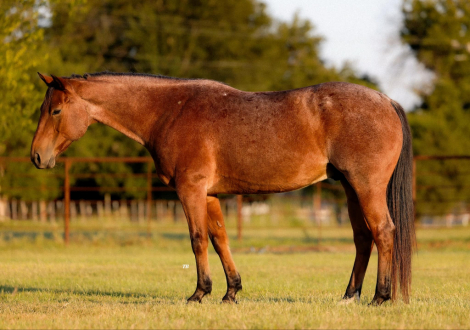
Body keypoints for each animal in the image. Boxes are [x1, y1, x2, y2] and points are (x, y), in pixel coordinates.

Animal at [31, 71, 414, 304]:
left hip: (366, 187)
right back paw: (349, 295)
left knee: (383, 231)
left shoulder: (191, 190)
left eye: (56, 110)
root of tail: (386, 101)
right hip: (350, 188)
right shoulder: (210, 194)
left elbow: (198, 240)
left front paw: (200, 293)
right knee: (363, 238)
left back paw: (380, 296)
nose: (37, 156)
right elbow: (220, 240)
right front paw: (231, 291)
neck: (170, 110)